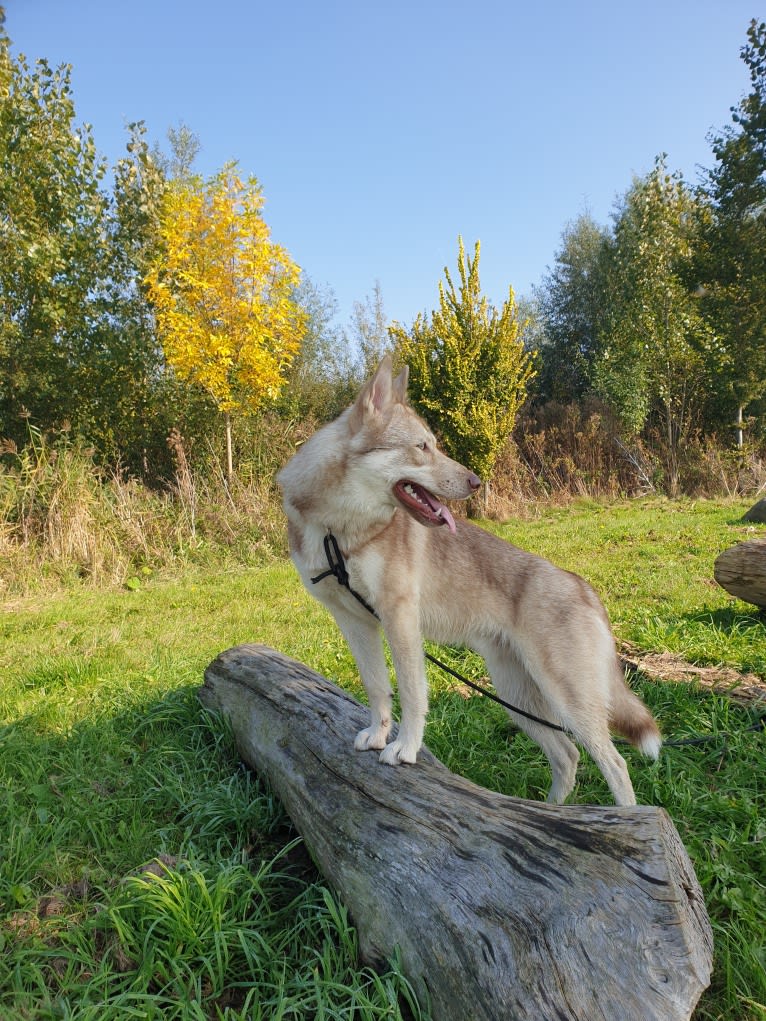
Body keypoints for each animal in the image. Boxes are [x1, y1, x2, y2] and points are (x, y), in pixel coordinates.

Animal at [279, 359, 661, 804]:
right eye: (422, 447)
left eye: (433, 444)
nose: (476, 482)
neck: (337, 531)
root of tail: (583, 587)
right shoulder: (356, 623)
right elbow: (377, 688)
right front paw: (377, 736)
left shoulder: (400, 620)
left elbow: (412, 694)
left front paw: (404, 748)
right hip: (518, 698)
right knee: (567, 756)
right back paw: (551, 812)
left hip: (568, 701)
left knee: (615, 764)